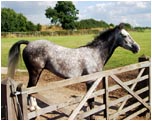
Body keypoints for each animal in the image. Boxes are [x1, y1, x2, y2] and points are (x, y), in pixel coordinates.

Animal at [7, 23, 140, 119]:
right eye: (124, 35)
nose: (137, 48)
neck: (94, 54)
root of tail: (29, 43)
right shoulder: (90, 82)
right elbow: (91, 103)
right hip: (35, 72)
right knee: (30, 89)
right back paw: (33, 109)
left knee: (33, 89)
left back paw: (36, 108)